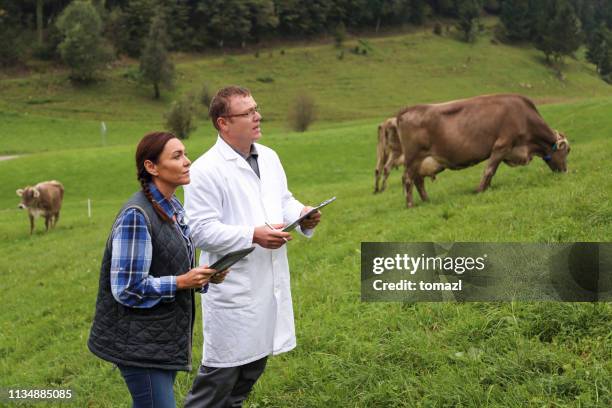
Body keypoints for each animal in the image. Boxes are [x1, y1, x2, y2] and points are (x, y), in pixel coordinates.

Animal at [396, 95, 568, 207]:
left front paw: (487, 188)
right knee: (407, 179)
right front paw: (479, 190)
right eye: (568, 151)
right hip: (412, 158)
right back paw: (410, 205)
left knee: (418, 180)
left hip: (420, 161)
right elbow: (489, 170)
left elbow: (492, 171)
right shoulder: (501, 145)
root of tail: (408, 110)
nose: (566, 171)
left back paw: (427, 201)